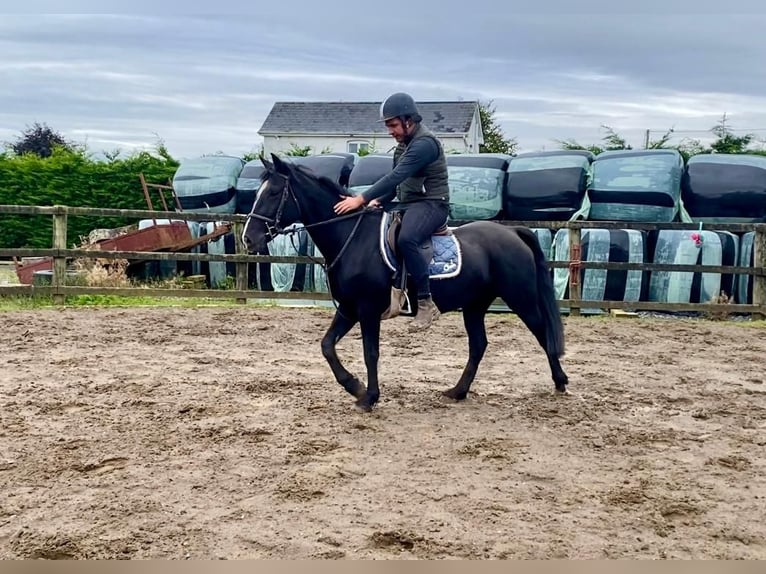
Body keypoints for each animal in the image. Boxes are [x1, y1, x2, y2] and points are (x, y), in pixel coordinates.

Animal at [246, 155, 568, 412]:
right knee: (479, 345)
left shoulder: (367, 311)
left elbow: (370, 353)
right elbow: (327, 346)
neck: (352, 237)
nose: (249, 238)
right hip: (475, 306)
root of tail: (512, 232)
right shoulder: (348, 309)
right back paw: (458, 391)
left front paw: (369, 397)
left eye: (274, 192)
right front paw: (354, 386)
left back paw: (560, 382)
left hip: (521, 298)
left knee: (542, 333)